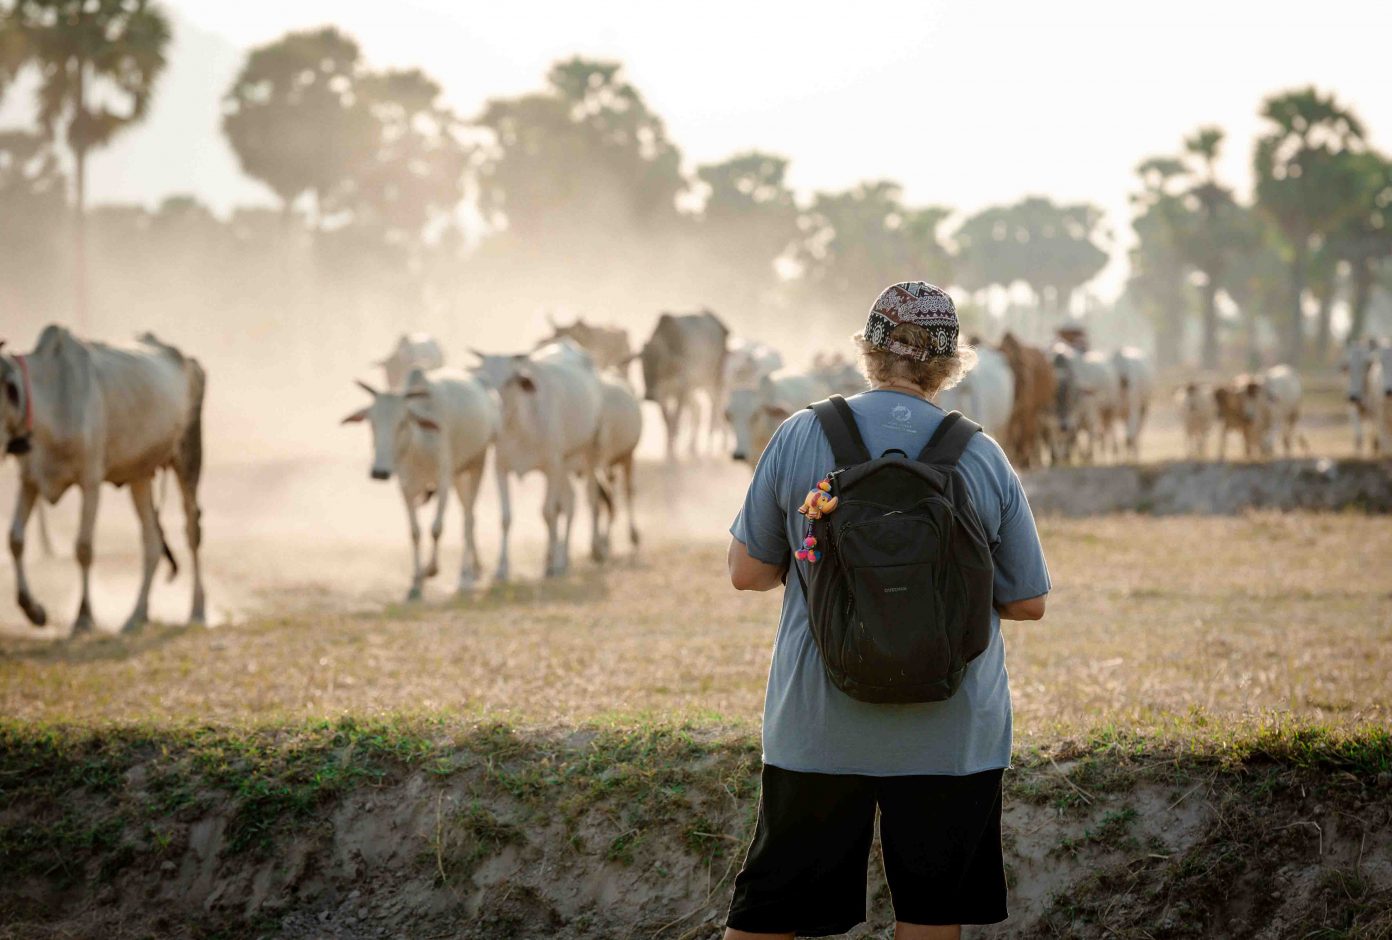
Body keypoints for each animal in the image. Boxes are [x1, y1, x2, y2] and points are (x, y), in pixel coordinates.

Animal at [0, 327, 204, 635]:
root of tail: (188, 359)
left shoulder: (91, 481)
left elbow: (83, 548)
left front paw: (84, 617)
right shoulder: (30, 480)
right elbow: (15, 539)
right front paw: (34, 611)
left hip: (188, 456)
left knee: (192, 531)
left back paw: (197, 610)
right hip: (140, 476)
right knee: (152, 541)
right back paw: (136, 615)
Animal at [343, 370, 501, 604]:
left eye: (402, 422)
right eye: (372, 422)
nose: (379, 472)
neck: (419, 447)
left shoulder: (443, 481)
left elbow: (436, 529)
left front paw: (431, 570)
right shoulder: (406, 487)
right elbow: (415, 532)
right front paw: (416, 584)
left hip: (476, 464)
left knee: (468, 518)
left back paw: (465, 576)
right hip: (458, 476)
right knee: (468, 515)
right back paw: (476, 568)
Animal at [473, 342, 604, 576]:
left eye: (511, 379)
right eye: (484, 378)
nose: (496, 407)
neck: (519, 429)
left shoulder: (551, 467)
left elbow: (548, 512)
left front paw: (551, 565)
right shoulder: (501, 468)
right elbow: (506, 518)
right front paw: (502, 567)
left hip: (589, 450)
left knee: (591, 497)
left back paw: (594, 549)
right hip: (564, 463)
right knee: (570, 500)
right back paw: (564, 557)